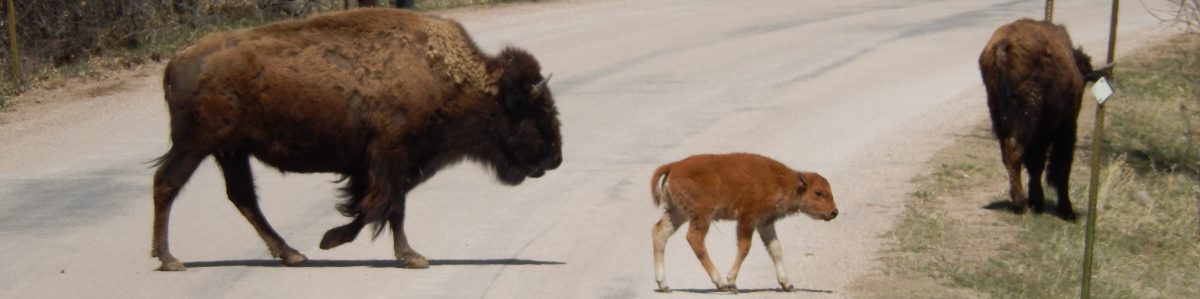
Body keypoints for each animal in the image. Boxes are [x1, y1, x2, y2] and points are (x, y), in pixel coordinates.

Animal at [152, 8, 559, 271]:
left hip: (230, 150)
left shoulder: (384, 165)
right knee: (167, 184)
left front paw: (331, 238)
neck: (448, 75)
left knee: (242, 197)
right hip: (196, 145)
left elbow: (373, 205)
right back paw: (170, 259)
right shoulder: (391, 157)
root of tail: (177, 62)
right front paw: (411, 257)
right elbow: (390, 206)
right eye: (535, 111)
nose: (555, 158)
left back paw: (291, 253)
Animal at [652, 153, 840, 292]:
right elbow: (745, 247)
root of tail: (674, 166)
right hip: (702, 215)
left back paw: (664, 285)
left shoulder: (765, 223)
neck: (781, 181)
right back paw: (720, 283)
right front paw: (731, 281)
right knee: (694, 238)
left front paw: (787, 284)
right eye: (818, 192)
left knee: (659, 233)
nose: (834, 212)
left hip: (677, 214)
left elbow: (776, 249)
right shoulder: (747, 219)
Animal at [979, 17, 1108, 220]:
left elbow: (1035, 164)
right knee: (1015, 152)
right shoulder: (1065, 127)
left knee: (1009, 154)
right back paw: (1020, 205)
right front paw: (1065, 209)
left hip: (999, 116)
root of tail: (1003, 47)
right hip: (1028, 120)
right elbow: (1059, 166)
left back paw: (1021, 202)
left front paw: (1037, 202)